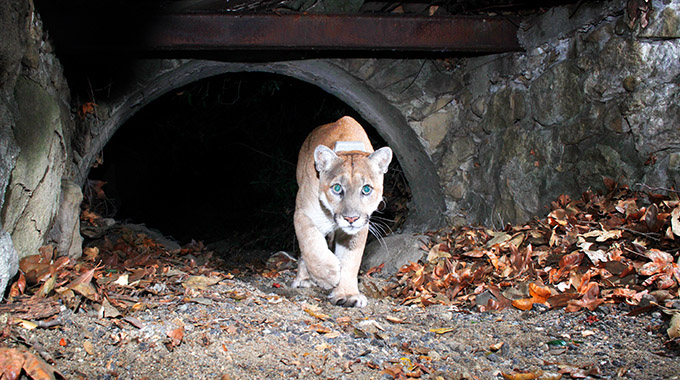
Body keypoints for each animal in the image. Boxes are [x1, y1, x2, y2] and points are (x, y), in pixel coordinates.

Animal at [292, 115, 394, 306]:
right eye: (337, 188)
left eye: (366, 189)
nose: (351, 219)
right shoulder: (303, 213)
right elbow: (311, 242)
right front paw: (328, 275)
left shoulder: (360, 227)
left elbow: (351, 259)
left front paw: (347, 294)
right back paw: (303, 279)